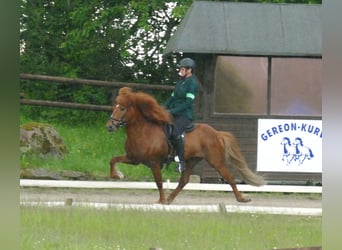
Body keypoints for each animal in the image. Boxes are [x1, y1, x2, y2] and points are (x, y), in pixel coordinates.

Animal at [105, 87, 266, 204]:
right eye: (115, 106)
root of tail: (216, 133)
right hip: (191, 160)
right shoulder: (133, 159)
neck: (143, 132)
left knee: (229, 177)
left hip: (215, 161)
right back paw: (170, 199)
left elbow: (159, 182)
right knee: (184, 180)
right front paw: (118, 175)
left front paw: (160, 200)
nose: (109, 126)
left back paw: (242, 198)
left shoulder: (154, 163)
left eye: (122, 108)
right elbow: (113, 160)